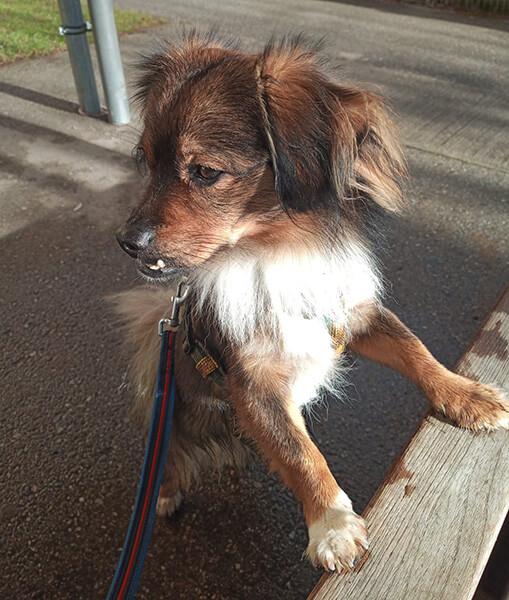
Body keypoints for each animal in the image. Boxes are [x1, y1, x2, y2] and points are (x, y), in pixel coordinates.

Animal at [114, 32, 509, 572]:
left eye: (205, 171)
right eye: (148, 162)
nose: (126, 242)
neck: (277, 251)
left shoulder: (355, 314)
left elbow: (417, 352)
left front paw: (467, 395)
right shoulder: (254, 382)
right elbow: (300, 455)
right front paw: (332, 525)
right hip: (174, 408)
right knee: (166, 455)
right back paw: (164, 493)